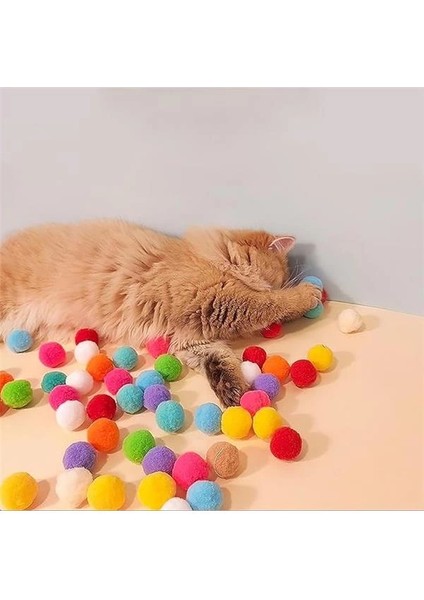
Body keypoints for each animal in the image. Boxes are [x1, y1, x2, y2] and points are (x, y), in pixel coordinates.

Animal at [0, 220, 321, 406]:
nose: (283, 282)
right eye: (280, 278)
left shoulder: (192, 338)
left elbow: (220, 360)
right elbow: (272, 303)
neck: (214, 256)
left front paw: (233, 393)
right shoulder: (219, 301)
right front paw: (307, 293)